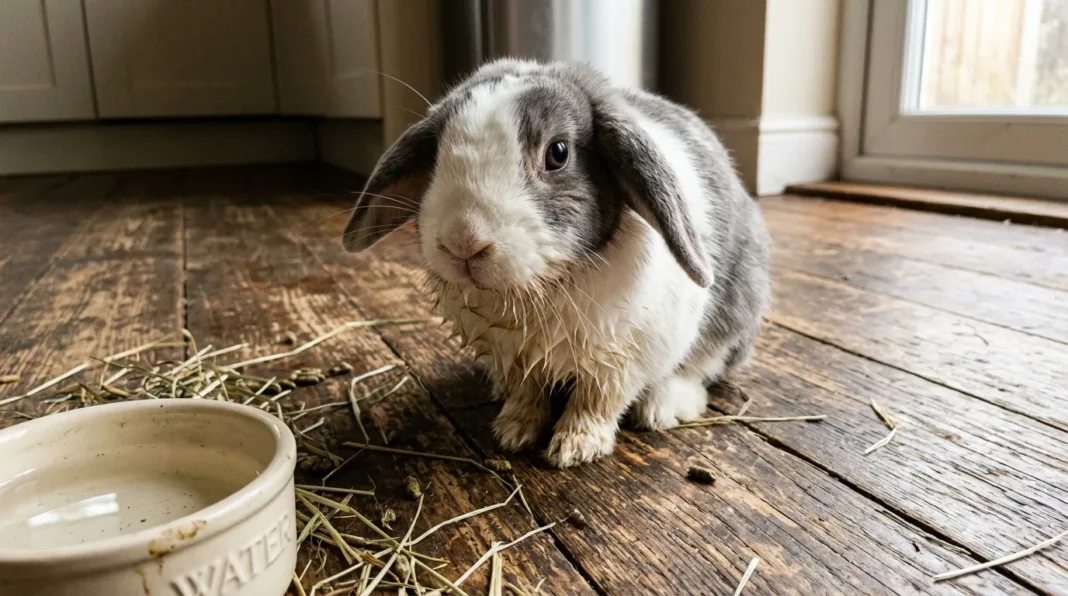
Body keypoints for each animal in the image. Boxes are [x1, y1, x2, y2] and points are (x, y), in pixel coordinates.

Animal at [342, 59, 771, 468]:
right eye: (436, 155)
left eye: (558, 153)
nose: (463, 241)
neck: (541, 284)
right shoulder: (515, 357)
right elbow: (527, 393)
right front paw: (512, 432)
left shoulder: (621, 361)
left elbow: (596, 402)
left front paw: (575, 448)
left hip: (735, 309)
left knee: (703, 364)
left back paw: (662, 408)